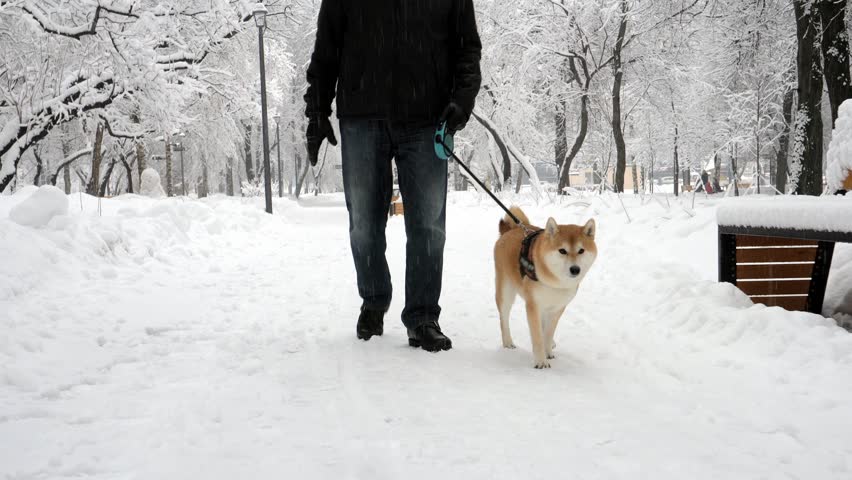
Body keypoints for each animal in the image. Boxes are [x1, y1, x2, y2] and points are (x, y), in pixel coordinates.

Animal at [496, 205, 596, 368]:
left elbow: (548, 333)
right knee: (504, 319)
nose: (575, 269)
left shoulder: (557, 308)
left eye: (581, 250)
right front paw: (541, 361)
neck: (555, 281)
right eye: (562, 251)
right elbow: (537, 336)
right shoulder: (533, 305)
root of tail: (510, 230)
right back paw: (508, 342)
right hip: (506, 292)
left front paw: (548, 351)